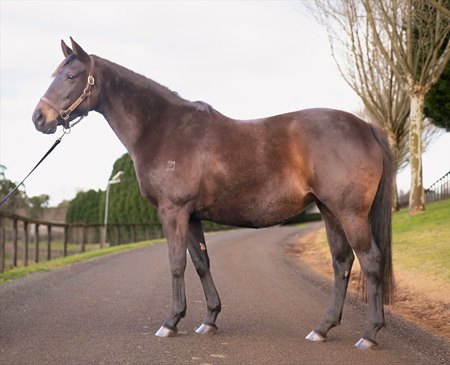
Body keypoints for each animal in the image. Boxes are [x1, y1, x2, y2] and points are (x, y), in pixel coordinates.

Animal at [32, 38, 394, 348]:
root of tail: (366, 127)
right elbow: (201, 262)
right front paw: (209, 320)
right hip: (329, 210)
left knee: (370, 261)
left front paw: (171, 322)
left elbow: (176, 262)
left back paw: (370, 334)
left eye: (71, 75)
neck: (163, 128)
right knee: (342, 262)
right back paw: (323, 328)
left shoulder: (173, 211)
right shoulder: (191, 216)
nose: (39, 118)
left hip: (349, 213)